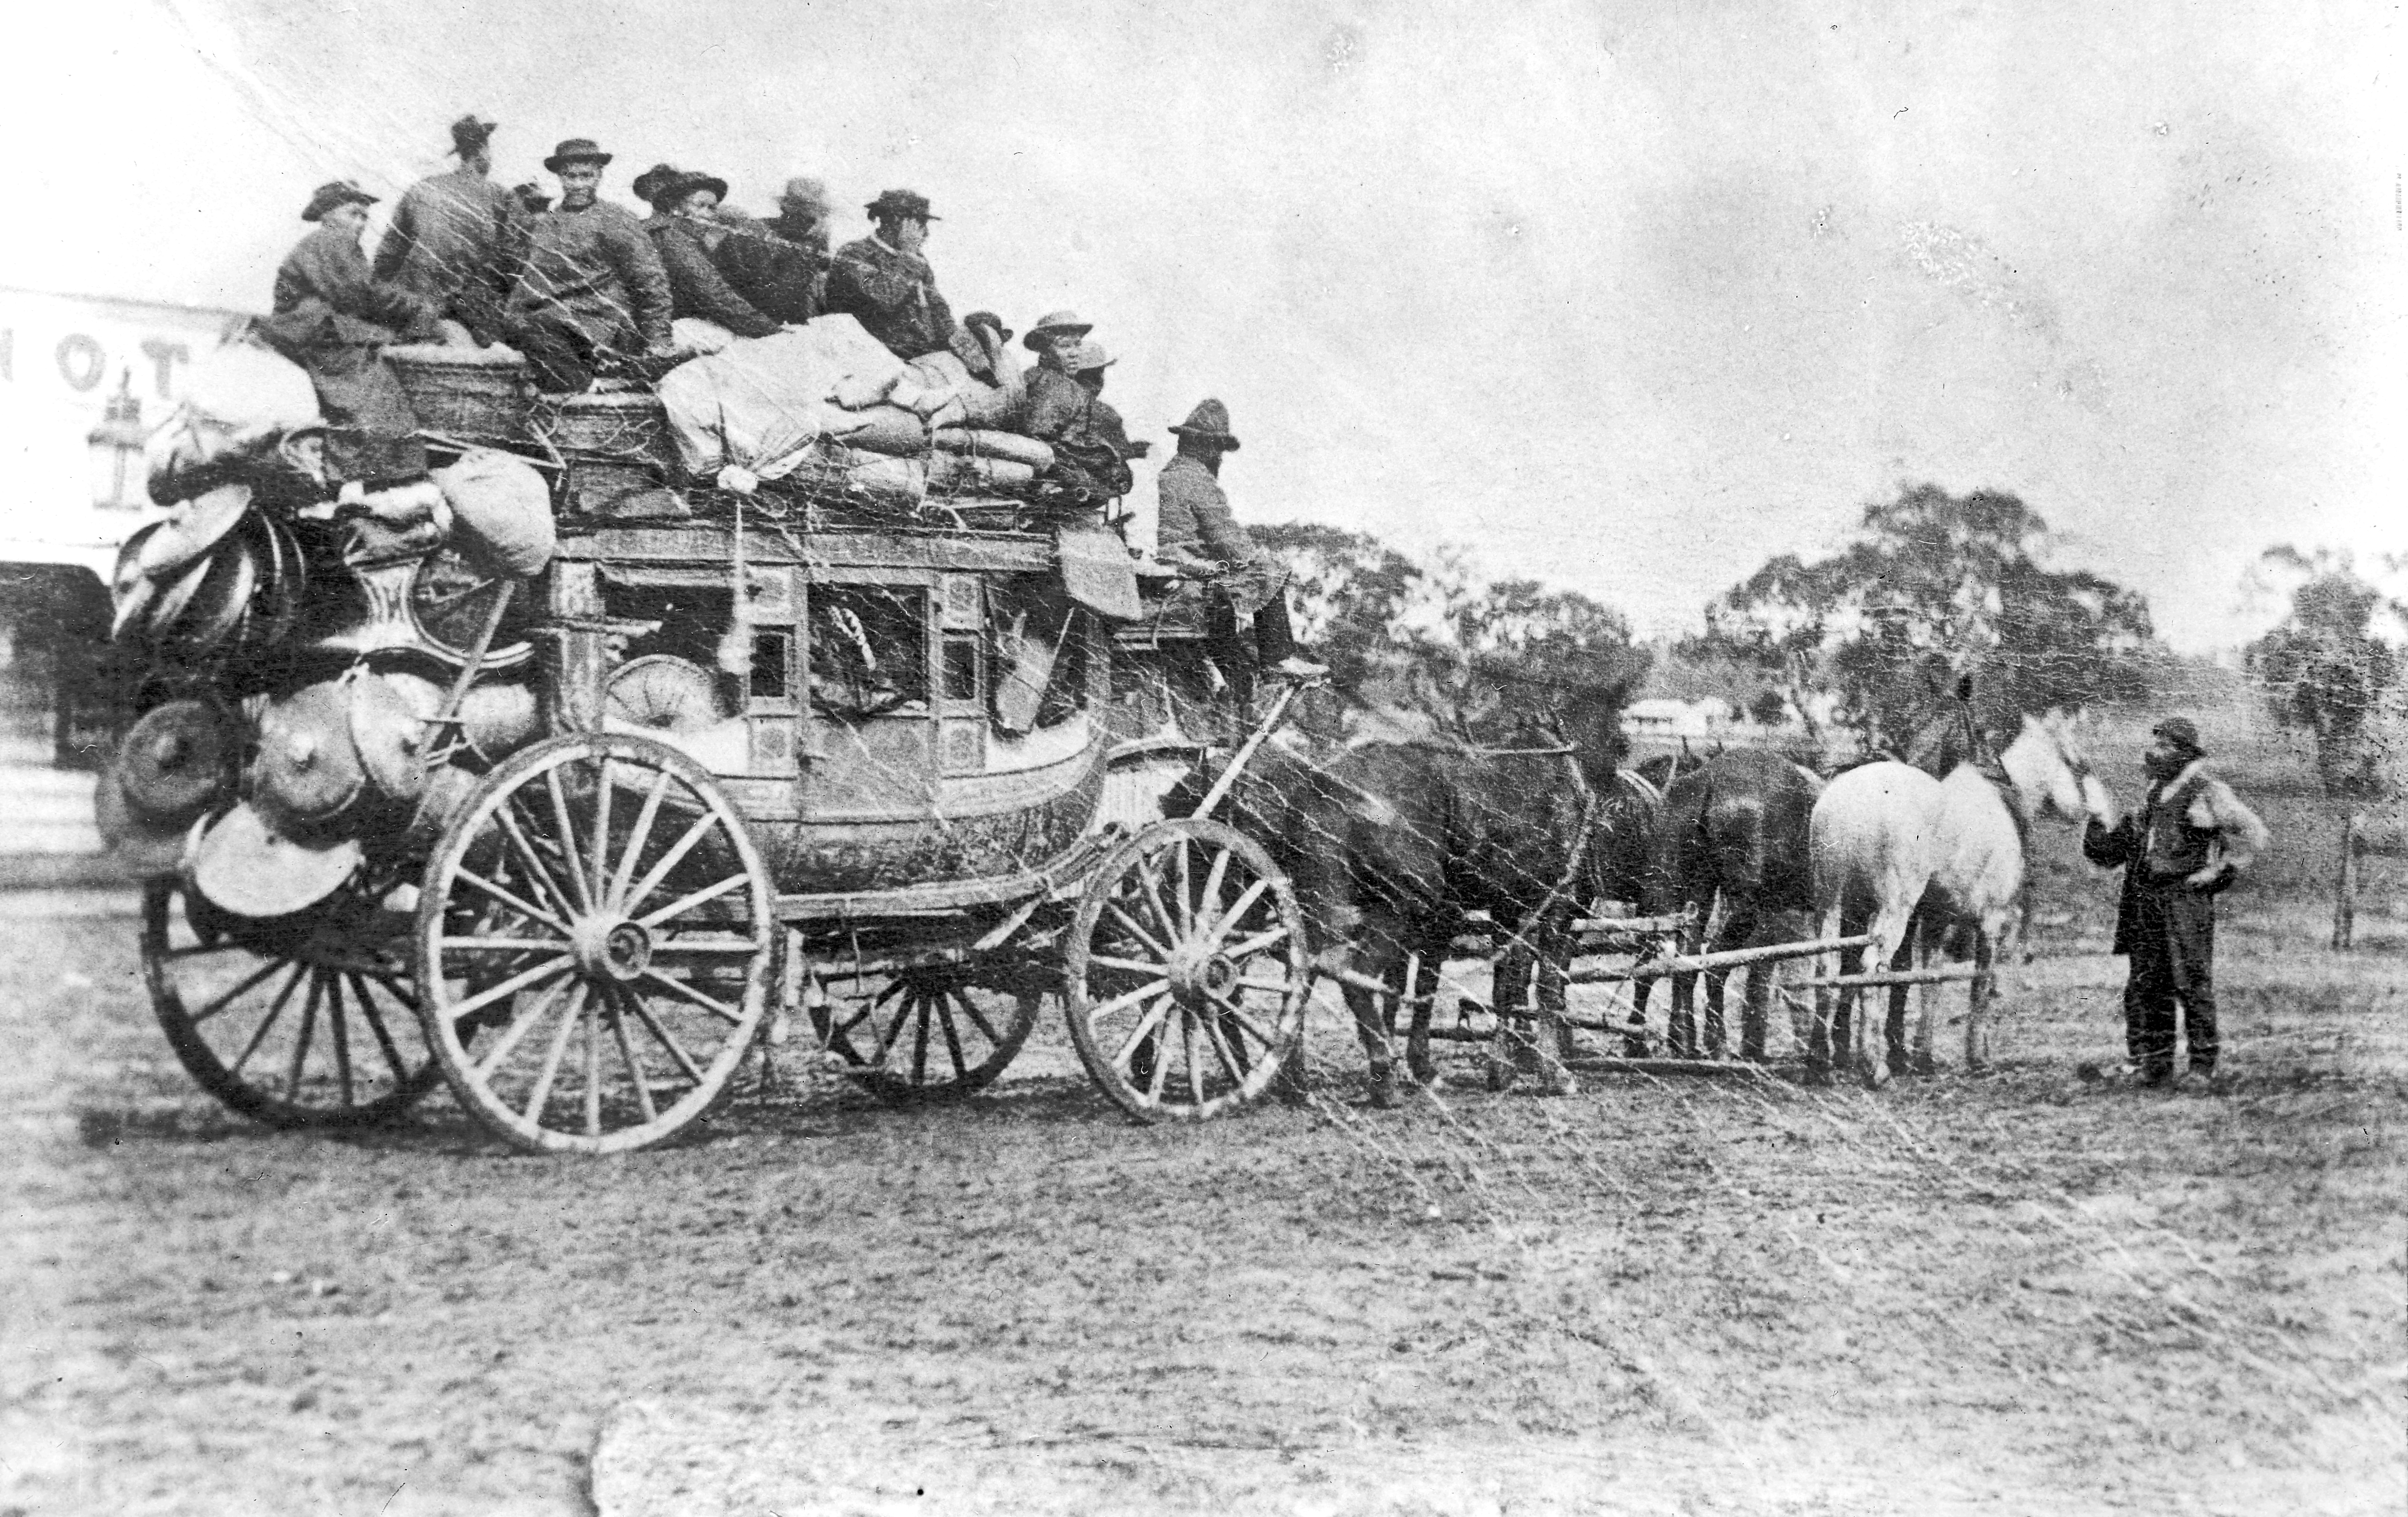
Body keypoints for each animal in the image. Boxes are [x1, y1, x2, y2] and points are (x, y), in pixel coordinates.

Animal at [1657, 756, 1820, 1064]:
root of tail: (1708, 779)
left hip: (1698, 889)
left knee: (1687, 957)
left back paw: (1683, 1042)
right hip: (1743, 900)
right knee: (1717, 960)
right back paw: (1717, 1044)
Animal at [1811, 765, 1945, 1088]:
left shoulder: (1858, 913)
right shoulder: (1930, 915)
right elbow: (1923, 978)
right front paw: (1917, 1057)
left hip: (1830, 899)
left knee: (1827, 970)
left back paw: (1819, 1062)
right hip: (1893, 908)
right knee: (1870, 968)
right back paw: (1876, 1068)